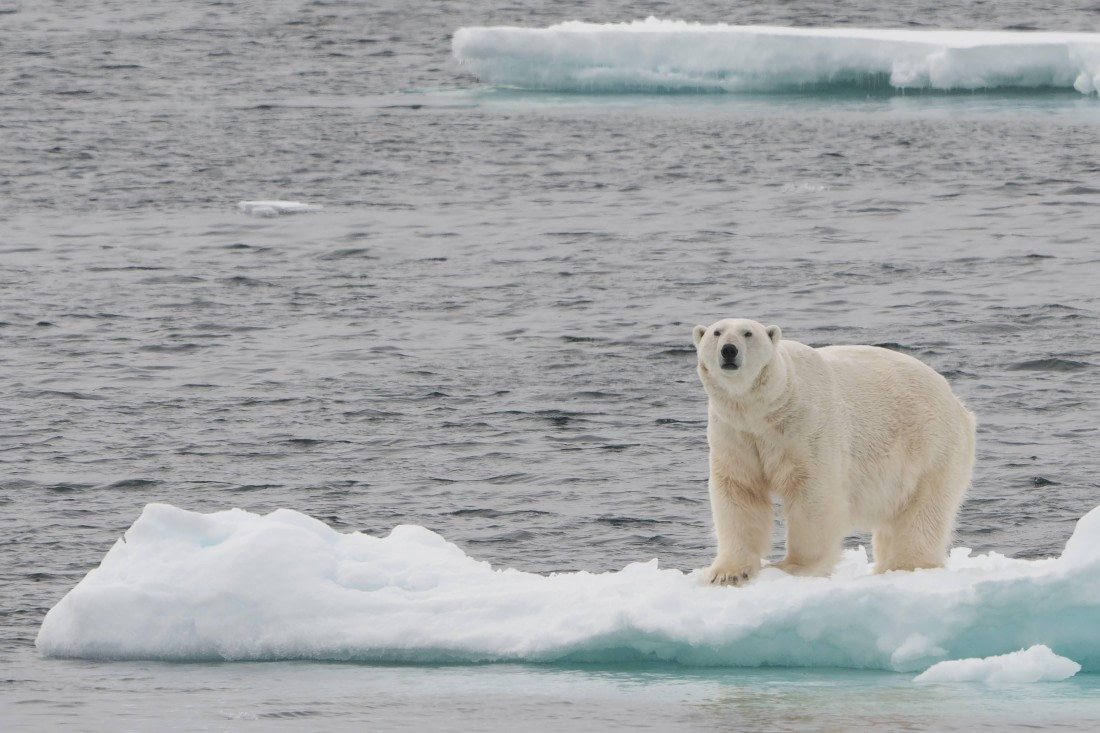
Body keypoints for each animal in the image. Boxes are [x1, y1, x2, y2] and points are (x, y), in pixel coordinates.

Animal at [692, 318, 975, 585]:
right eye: (717, 332)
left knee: (924, 510)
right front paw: (727, 573)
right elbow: (739, 490)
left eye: (748, 333)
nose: (729, 350)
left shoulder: (806, 424)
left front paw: (795, 567)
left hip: (932, 445)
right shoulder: (735, 433)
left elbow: (812, 492)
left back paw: (906, 565)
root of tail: (957, 402)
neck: (765, 409)